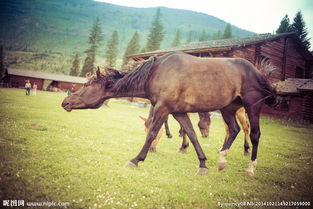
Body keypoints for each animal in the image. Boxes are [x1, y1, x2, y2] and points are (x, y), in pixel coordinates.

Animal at [61, 52, 276, 176]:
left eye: (87, 84)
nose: (65, 102)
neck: (156, 72)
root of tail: (257, 72)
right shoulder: (179, 112)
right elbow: (192, 135)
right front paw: (203, 164)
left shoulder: (162, 109)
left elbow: (151, 134)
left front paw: (136, 160)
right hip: (228, 108)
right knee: (233, 130)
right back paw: (222, 160)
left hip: (251, 107)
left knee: (254, 134)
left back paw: (250, 168)